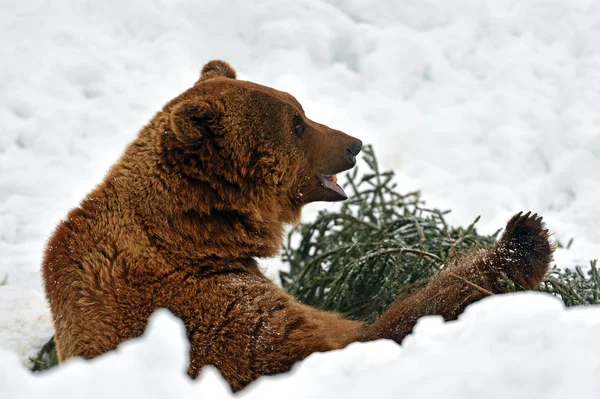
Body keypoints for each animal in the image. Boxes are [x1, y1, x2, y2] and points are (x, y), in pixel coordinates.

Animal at [42, 61, 552, 392]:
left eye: (299, 110)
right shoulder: (214, 314)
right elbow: (357, 342)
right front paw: (522, 239)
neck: (191, 234)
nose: (354, 144)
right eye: (298, 123)